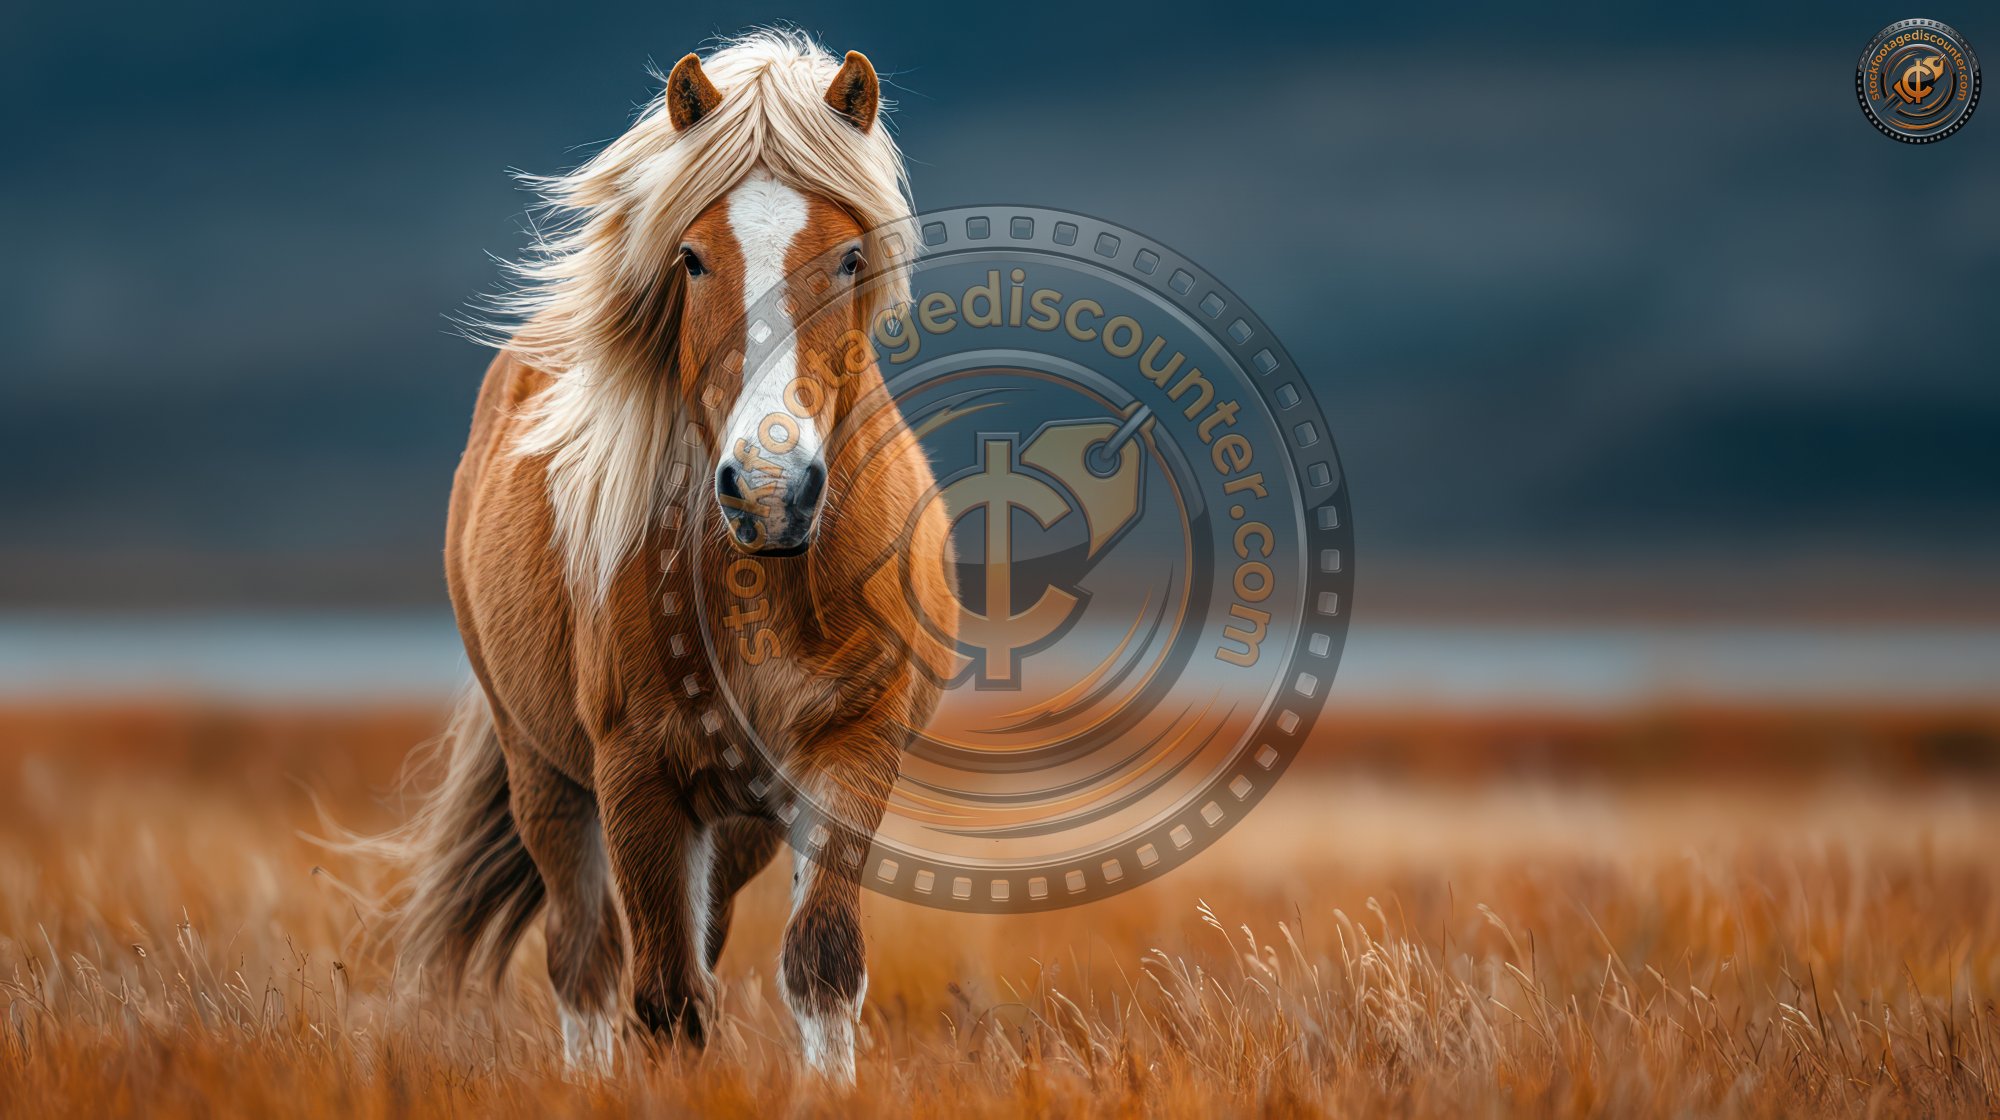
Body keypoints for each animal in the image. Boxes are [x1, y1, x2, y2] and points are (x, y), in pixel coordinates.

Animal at [377, 31, 957, 1082]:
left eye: (851, 257)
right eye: (690, 258)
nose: (769, 489)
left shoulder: (848, 751)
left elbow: (819, 963)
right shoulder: (637, 777)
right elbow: (661, 996)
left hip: (737, 826)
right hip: (547, 776)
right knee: (586, 959)